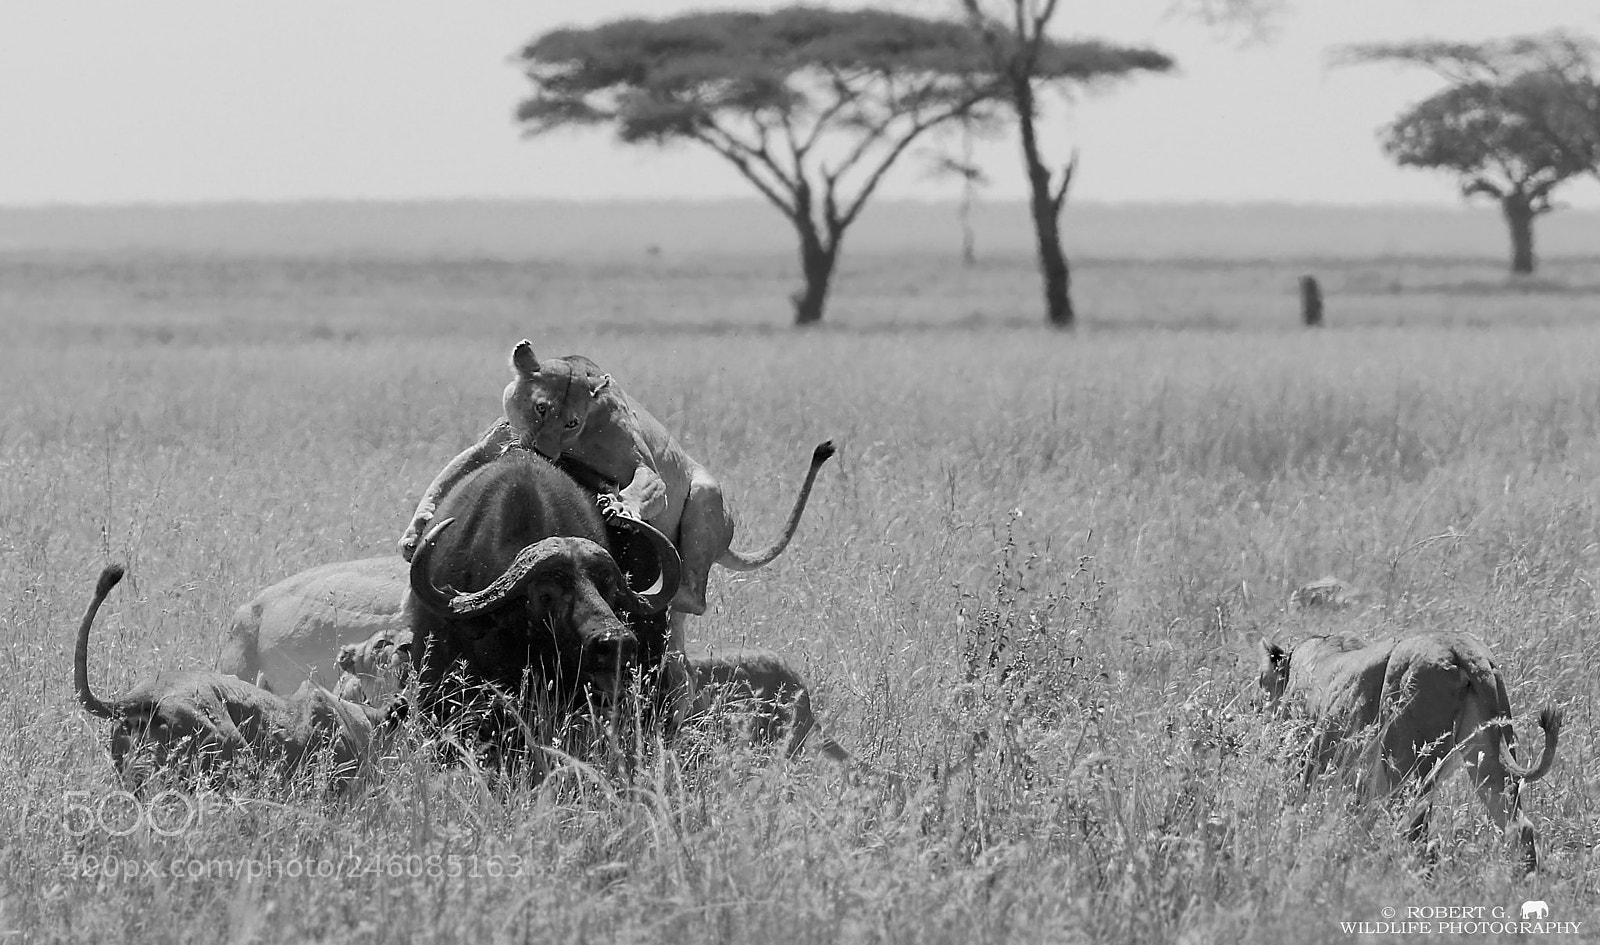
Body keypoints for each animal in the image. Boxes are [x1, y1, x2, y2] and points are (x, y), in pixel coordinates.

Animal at [1257, 630, 1561, 872]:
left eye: (1261, 680)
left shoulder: (1304, 763)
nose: (1255, 706)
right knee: (1517, 825)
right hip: (1487, 754)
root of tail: (1460, 646)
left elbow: (1293, 811)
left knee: (1415, 833)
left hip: (1405, 763)